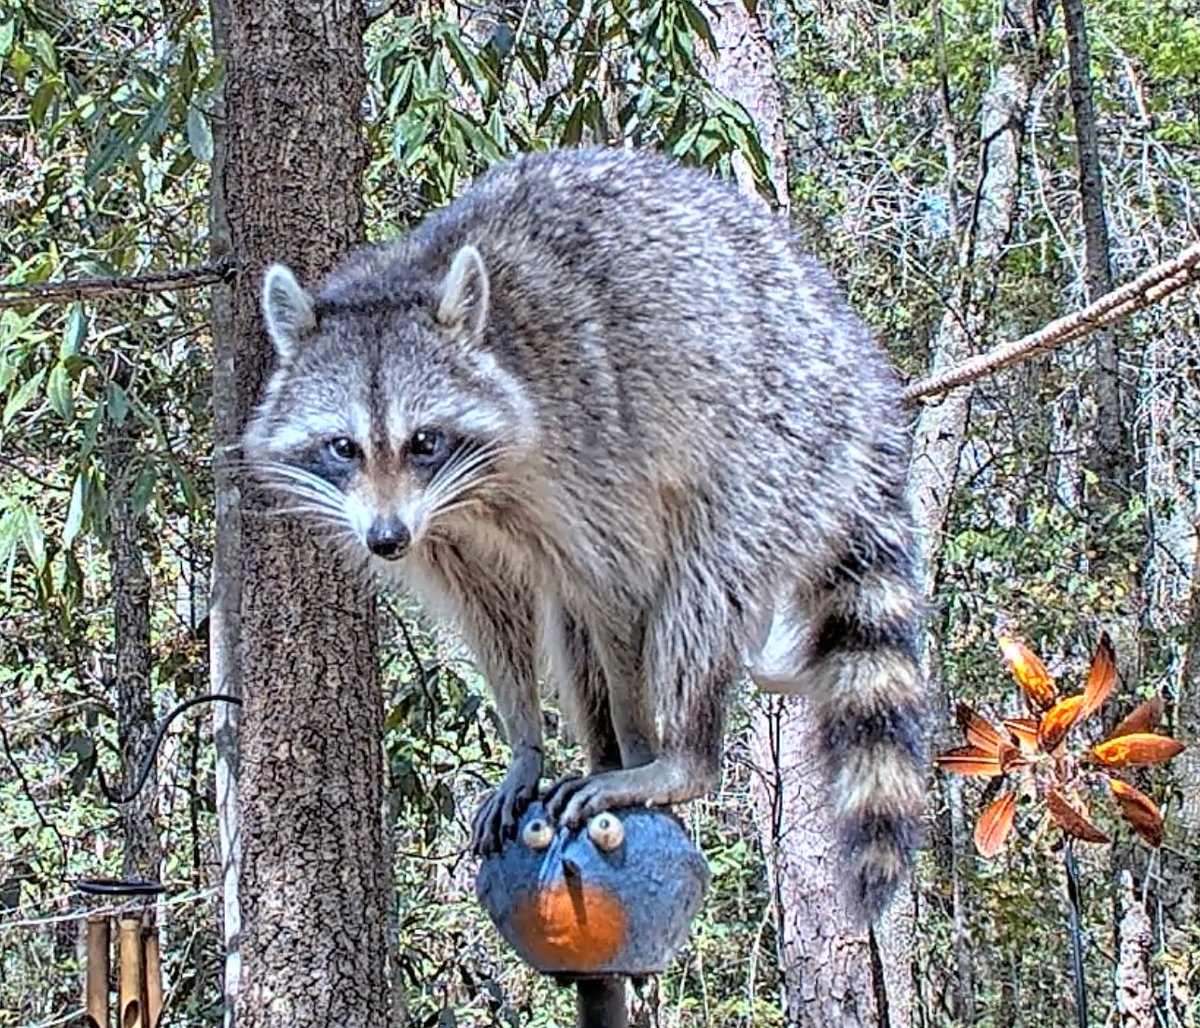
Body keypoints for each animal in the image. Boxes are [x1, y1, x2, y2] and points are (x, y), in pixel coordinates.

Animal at [242, 146, 926, 922]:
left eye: (424, 441)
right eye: (343, 447)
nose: (386, 541)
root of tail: (864, 383)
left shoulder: (589, 457)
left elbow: (621, 595)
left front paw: (638, 743)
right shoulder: (447, 535)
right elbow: (497, 619)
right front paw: (526, 743)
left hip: (780, 449)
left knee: (699, 593)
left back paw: (677, 757)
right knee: (573, 627)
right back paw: (598, 748)